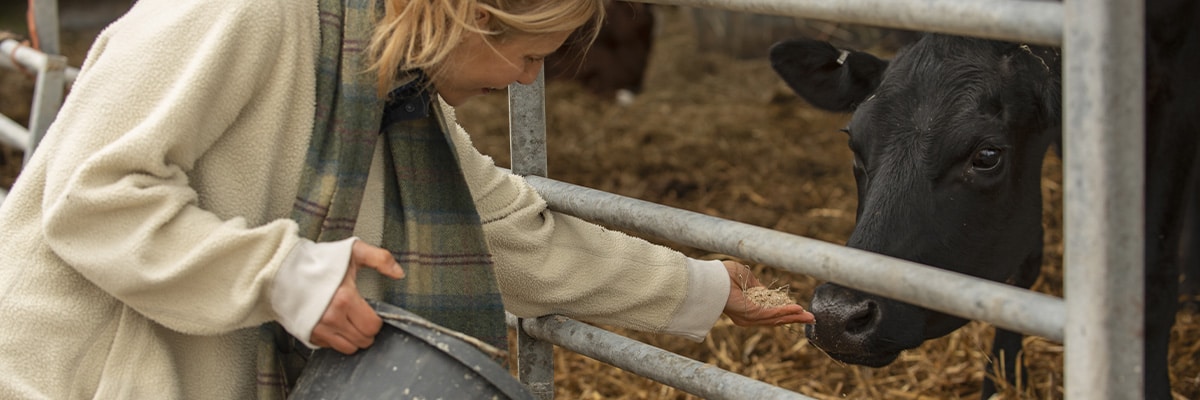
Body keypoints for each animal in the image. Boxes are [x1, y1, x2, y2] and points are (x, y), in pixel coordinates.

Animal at [772, 0, 1195, 396]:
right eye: (854, 146)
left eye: (987, 155)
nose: (834, 316)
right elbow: (1025, 258)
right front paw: (1004, 378)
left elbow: (1154, 277)